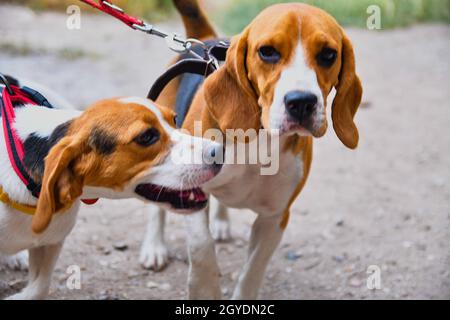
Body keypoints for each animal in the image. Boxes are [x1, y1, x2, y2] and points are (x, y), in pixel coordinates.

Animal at [142, 1, 364, 298]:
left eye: (329, 54)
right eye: (267, 52)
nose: (302, 102)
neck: (258, 140)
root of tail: (204, 40)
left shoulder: (275, 216)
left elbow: (253, 269)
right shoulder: (192, 192)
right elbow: (202, 248)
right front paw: (205, 290)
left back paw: (221, 222)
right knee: (157, 208)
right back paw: (154, 247)